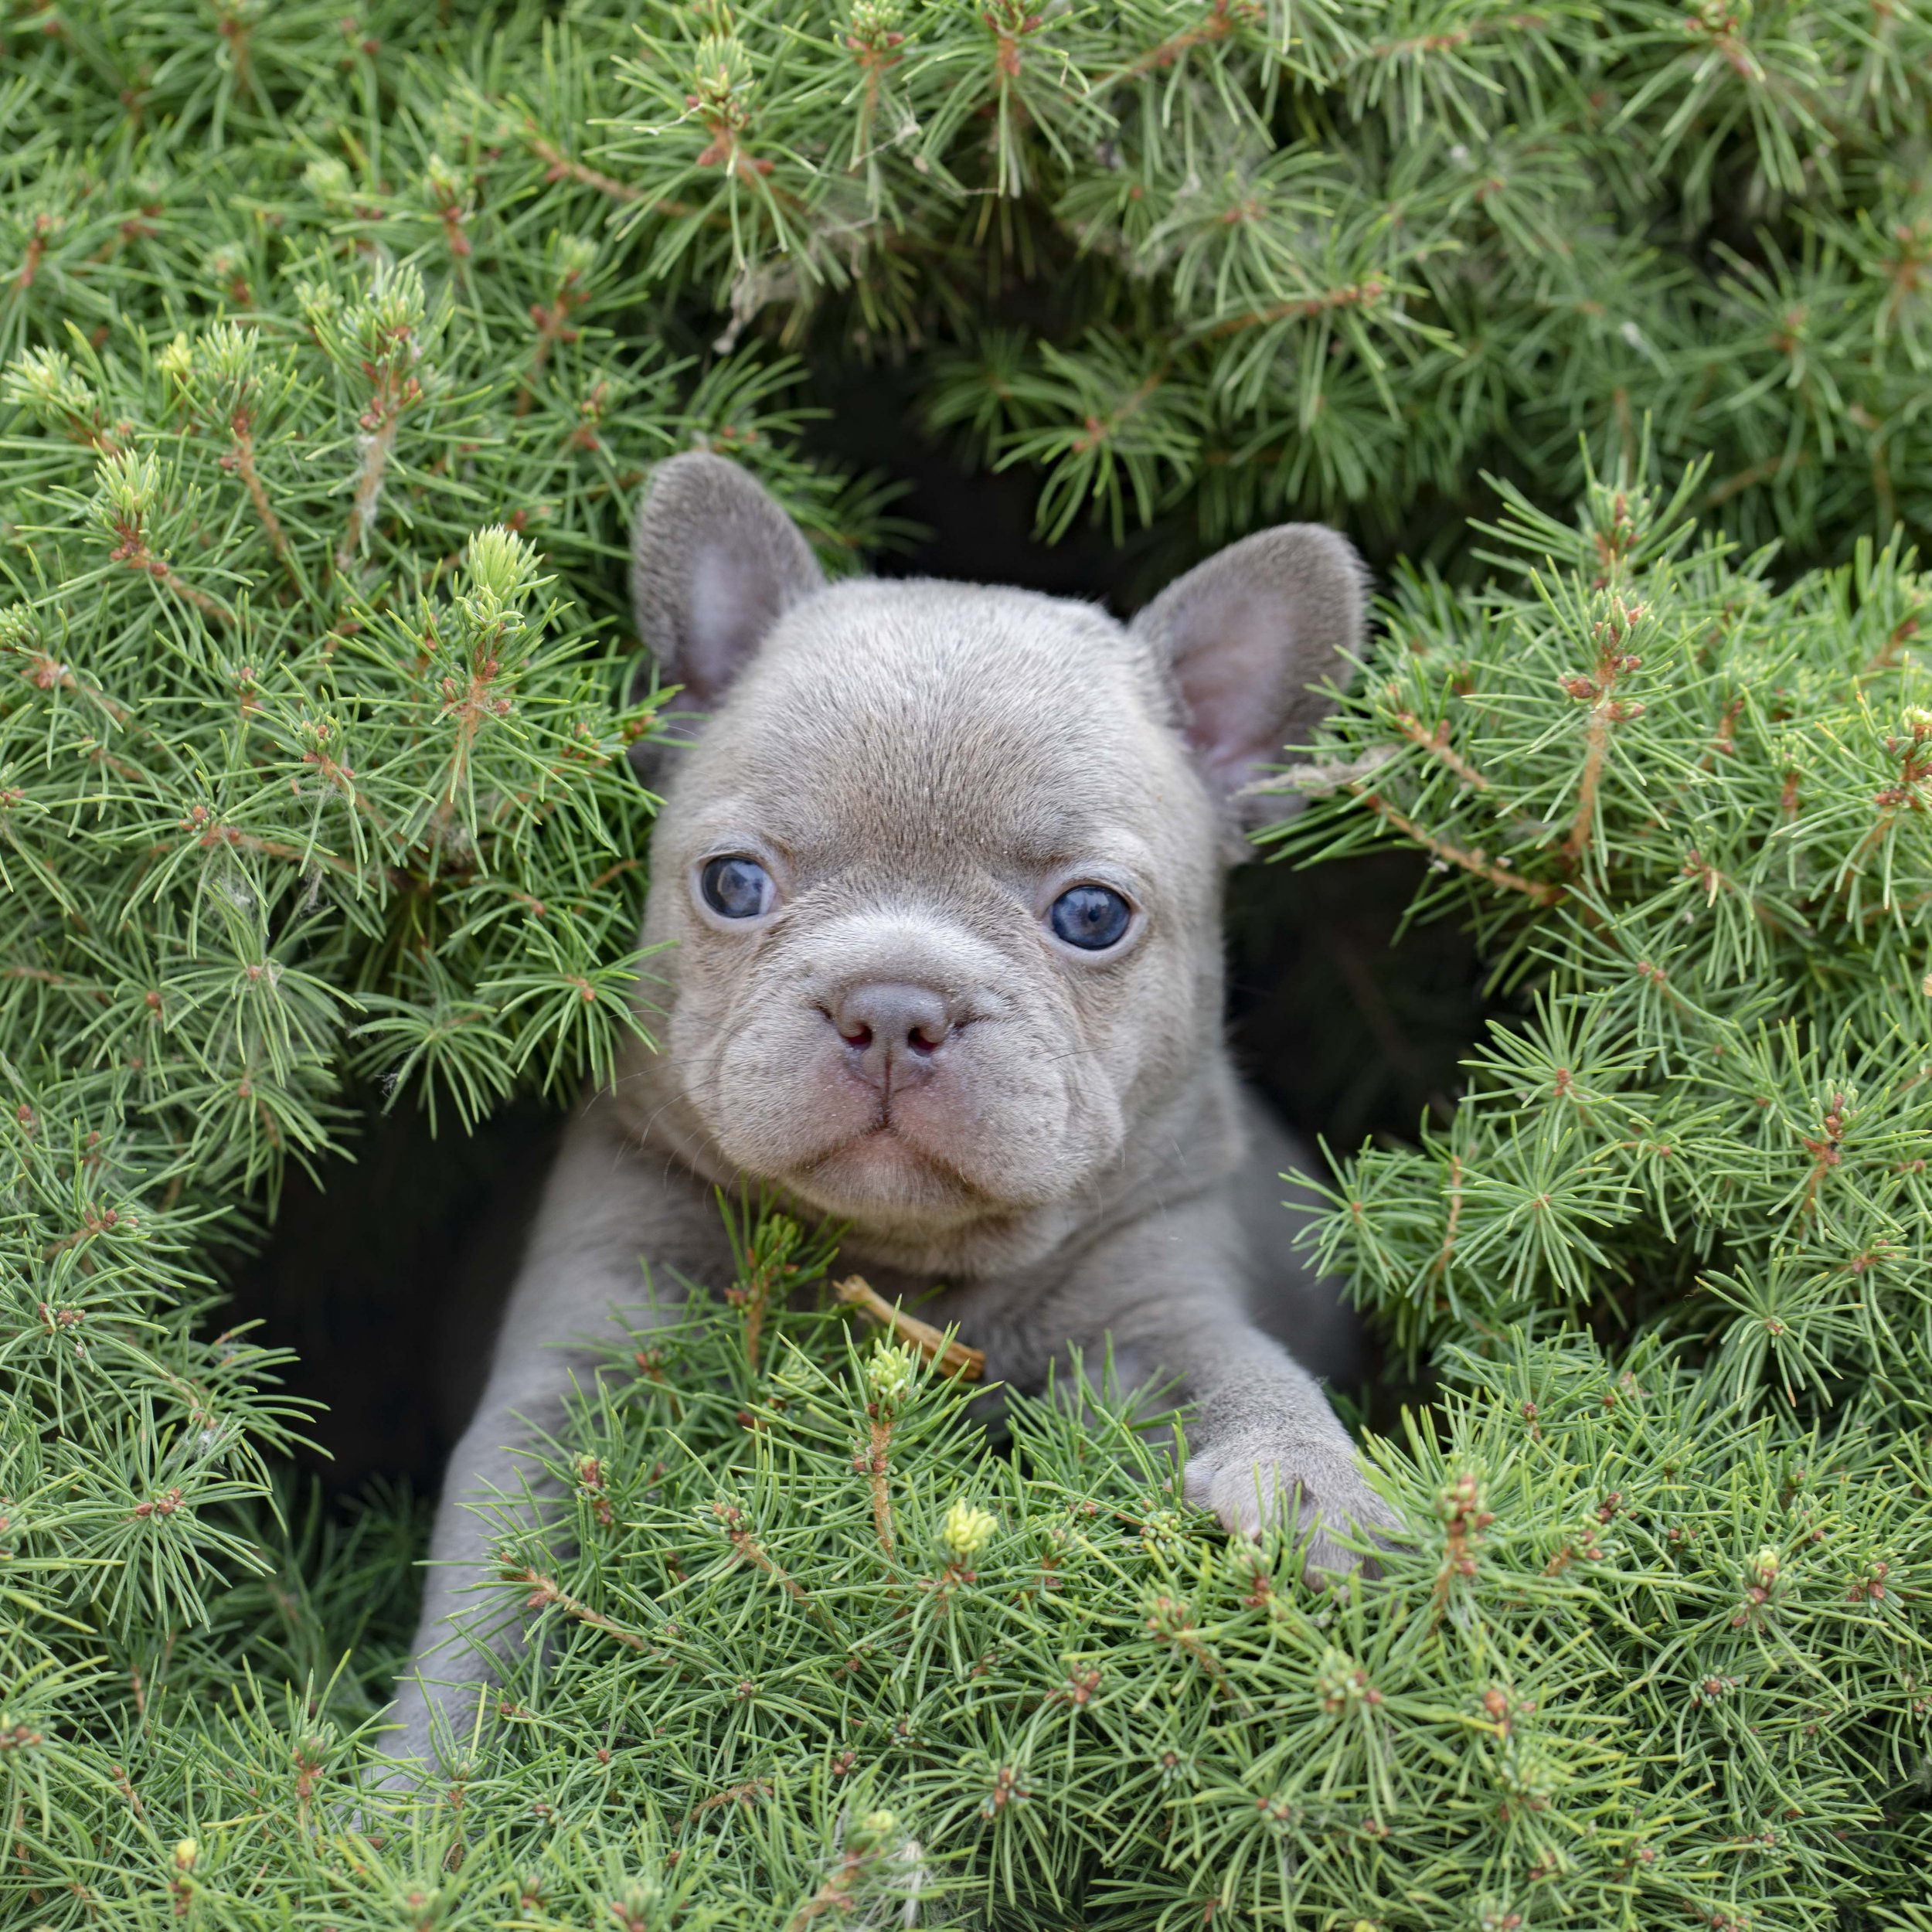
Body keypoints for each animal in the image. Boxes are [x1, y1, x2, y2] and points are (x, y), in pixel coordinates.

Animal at [384, 448, 1399, 1770]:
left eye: (1093, 915)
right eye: (734, 884)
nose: (895, 1005)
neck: (904, 1266)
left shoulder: (1156, 1299)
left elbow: (1240, 1369)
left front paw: (1307, 1484)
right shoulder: (587, 1359)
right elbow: (492, 1604)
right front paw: (421, 1791)